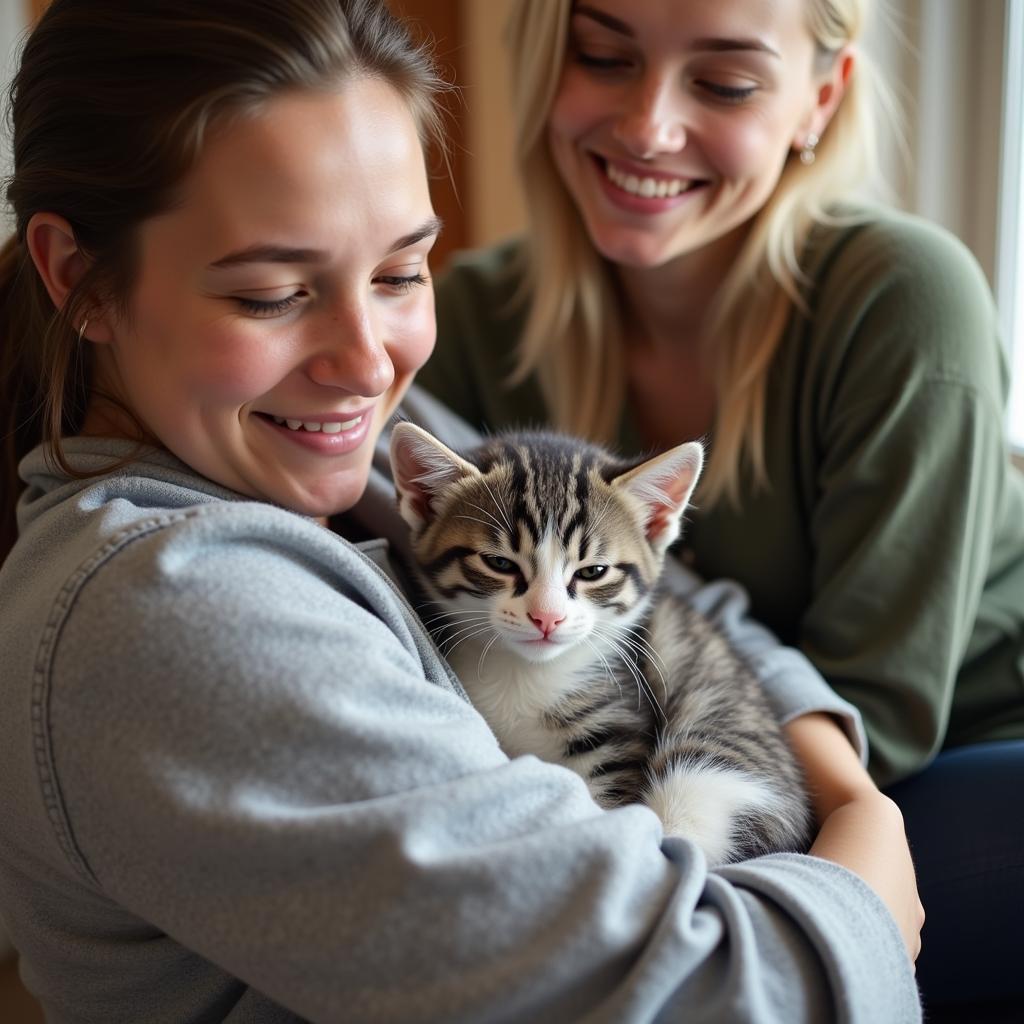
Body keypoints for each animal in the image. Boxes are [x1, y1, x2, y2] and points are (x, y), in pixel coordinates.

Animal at [387, 421, 811, 864]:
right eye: (499, 563)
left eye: (593, 571)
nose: (547, 617)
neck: (525, 673)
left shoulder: (616, 728)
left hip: (710, 759)